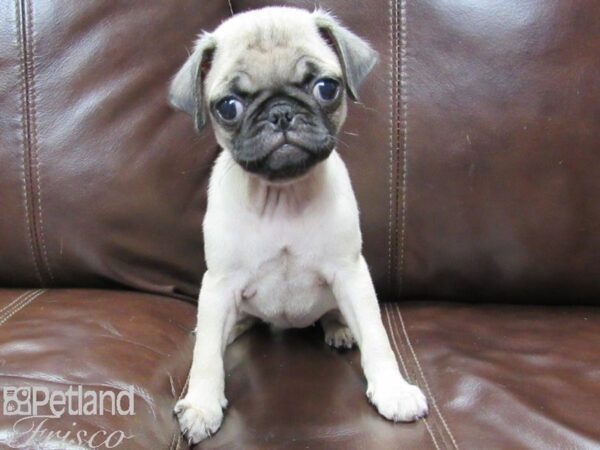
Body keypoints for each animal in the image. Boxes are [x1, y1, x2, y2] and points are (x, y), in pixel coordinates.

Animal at [169, 6, 428, 442]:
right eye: (228, 107)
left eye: (326, 88)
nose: (281, 113)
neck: (283, 197)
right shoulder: (218, 284)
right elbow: (205, 356)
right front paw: (202, 403)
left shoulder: (351, 273)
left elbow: (377, 336)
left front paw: (393, 389)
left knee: (335, 315)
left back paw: (339, 328)